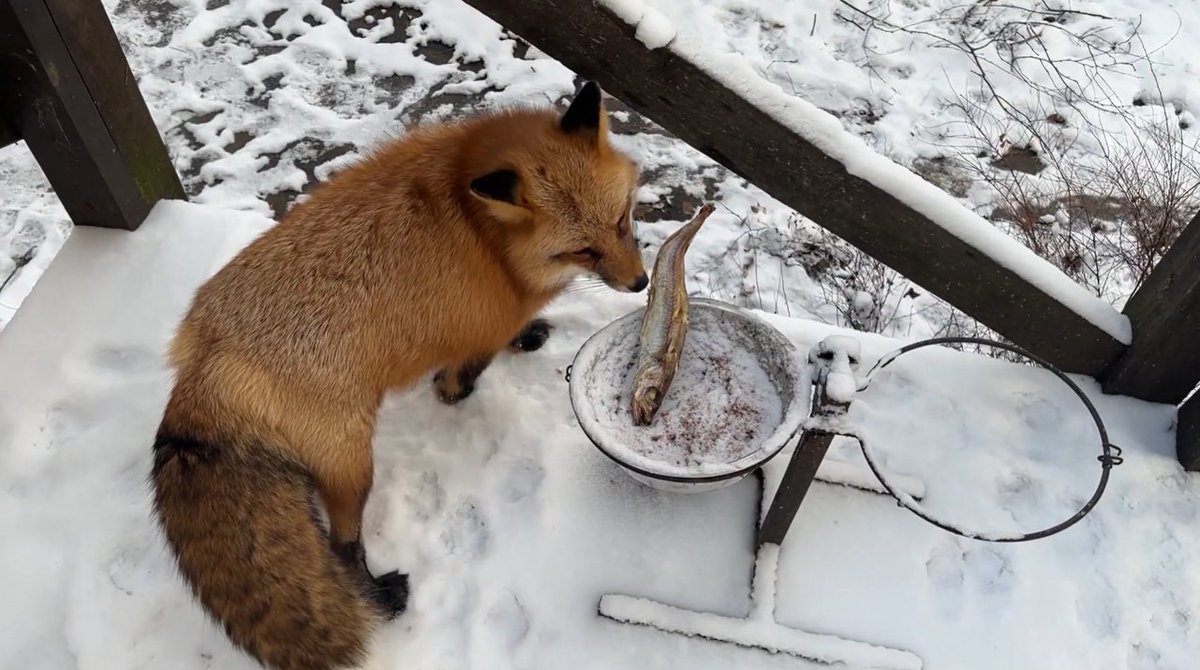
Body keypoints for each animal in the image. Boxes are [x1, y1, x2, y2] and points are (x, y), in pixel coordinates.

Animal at [149, 81, 647, 670]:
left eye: (622, 221)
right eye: (582, 250)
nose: (641, 283)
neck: (484, 234)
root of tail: (207, 368)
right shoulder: (479, 324)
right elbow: (466, 371)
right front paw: (461, 388)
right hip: (353, 464)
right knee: (342, 546)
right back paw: (378, 598)